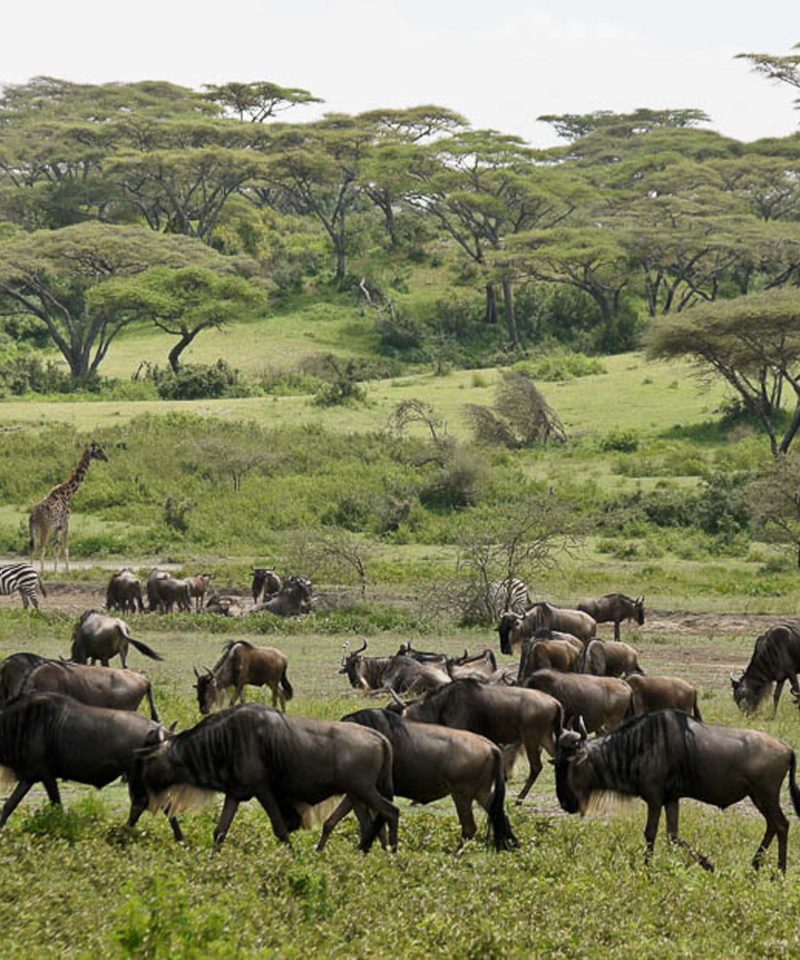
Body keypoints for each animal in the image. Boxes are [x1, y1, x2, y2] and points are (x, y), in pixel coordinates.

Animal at [28, 440, 108, 568]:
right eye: (99, 450)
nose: (106, 458)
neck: (68, 493)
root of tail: (33, 516)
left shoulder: (58, 527)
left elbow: (57, 548)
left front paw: (56, 570)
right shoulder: (66, 523)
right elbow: (65, 548)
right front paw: (67, 570)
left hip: (33, 528)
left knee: (32, 547)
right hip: (45, 528)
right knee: (42, 548)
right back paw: (42, 570)